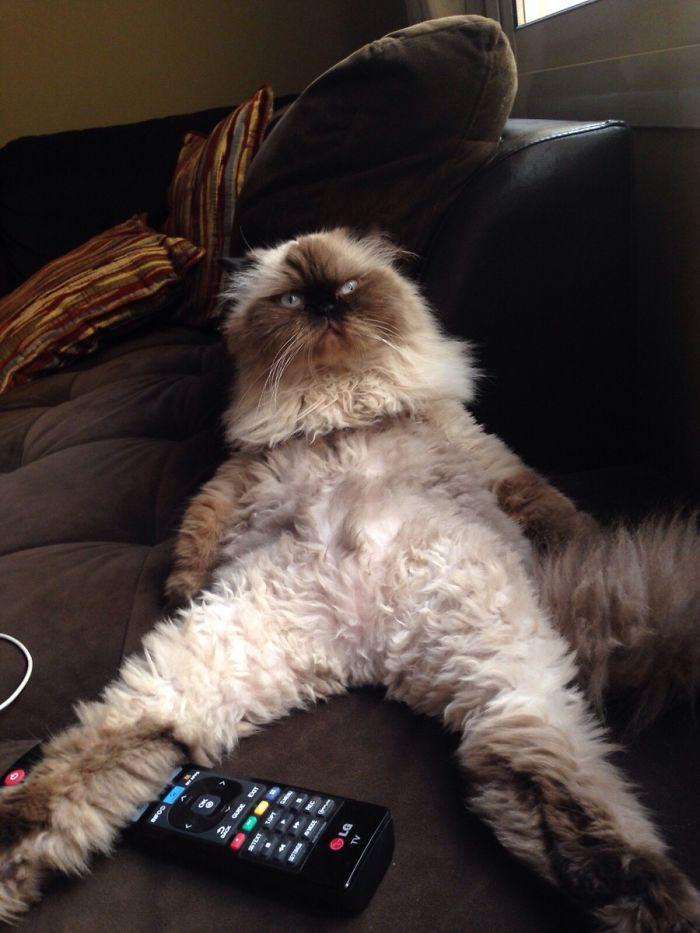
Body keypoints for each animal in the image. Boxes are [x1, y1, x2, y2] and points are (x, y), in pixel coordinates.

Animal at [1, 228, 700, 932]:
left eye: (348, 288)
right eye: (290, 299)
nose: (325, 309)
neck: (343, 409)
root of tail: (370, 643)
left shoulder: (480, 450)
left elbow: (550, 506)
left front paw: (585, 535)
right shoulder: (240, 472)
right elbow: (197, 531)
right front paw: (180, 585)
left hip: (496, 665)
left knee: (521, 765)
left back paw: (642, 897)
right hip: (211, 662)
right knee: (117, 750)